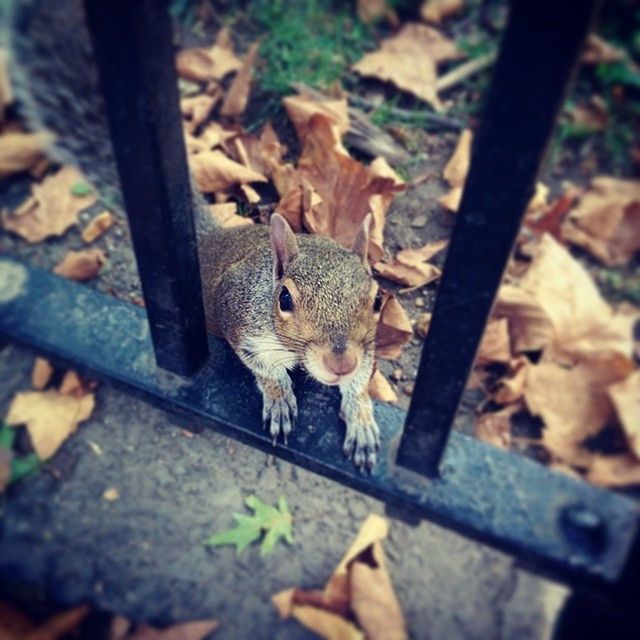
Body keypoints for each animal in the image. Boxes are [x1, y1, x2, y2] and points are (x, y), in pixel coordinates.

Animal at [5, 0, 382, 470]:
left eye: (377, 300)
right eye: (285, 300)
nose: (339, 362)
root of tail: (208, 241)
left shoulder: (367, 345)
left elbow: (364, 376)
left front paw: (361, 414)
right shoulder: (240, 321)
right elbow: (263, 369)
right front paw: (279, 397)